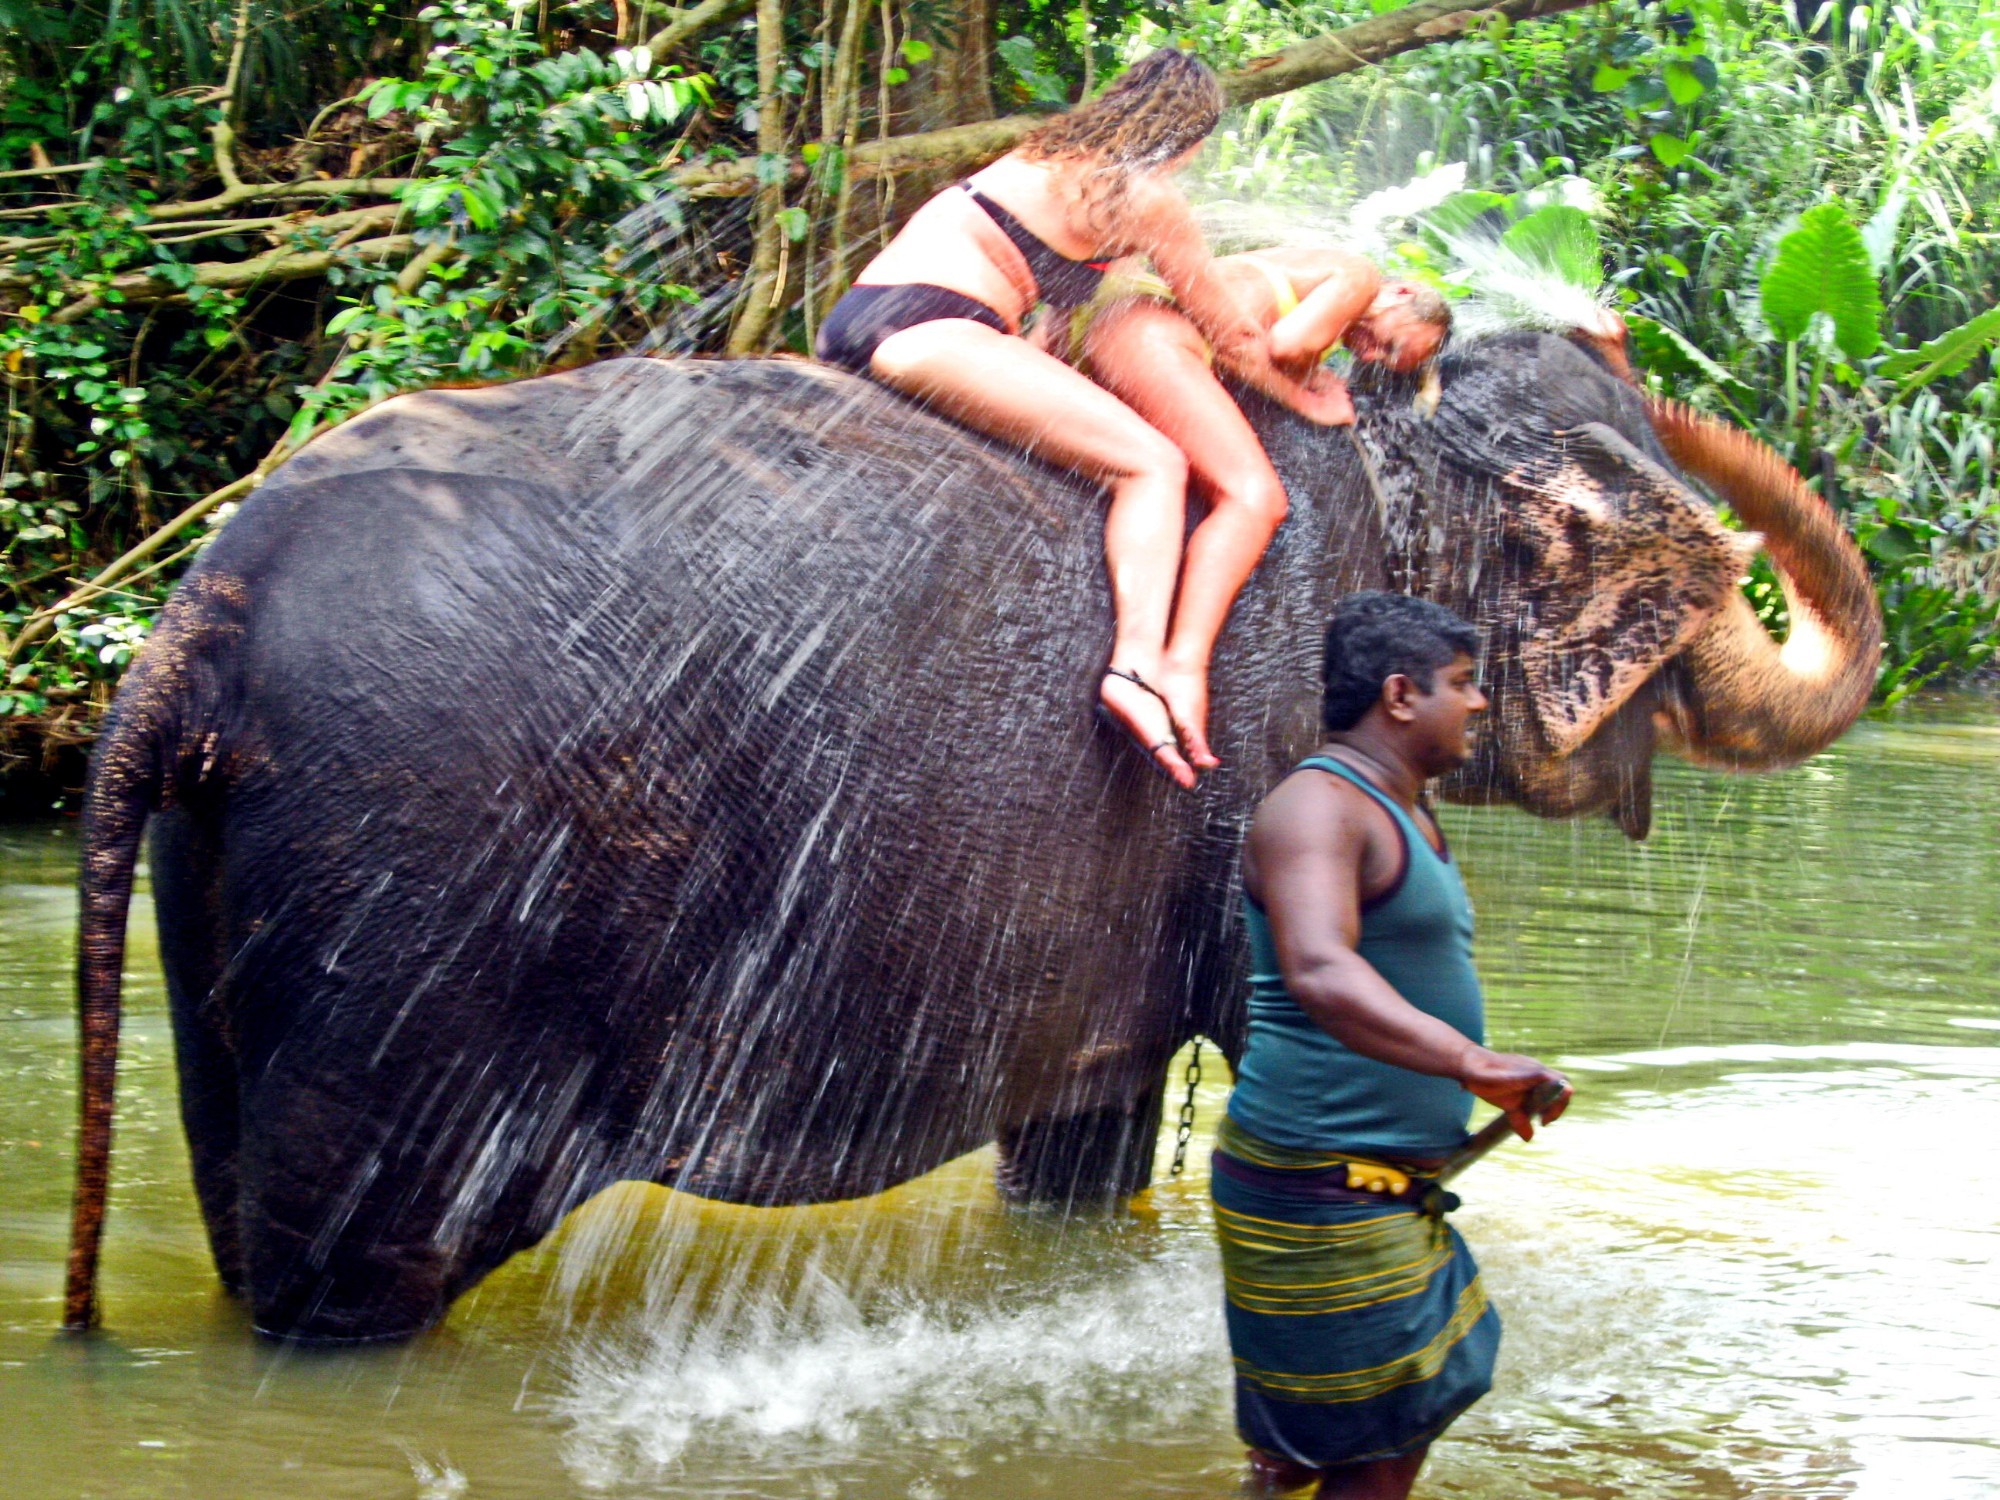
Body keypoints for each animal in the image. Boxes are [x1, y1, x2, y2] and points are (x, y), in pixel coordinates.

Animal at [62, 328, 1872, 1336]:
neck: (1389, 426)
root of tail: (200, 614)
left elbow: (1081, 1145)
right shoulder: (1261, 763)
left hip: (234, 882)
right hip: (419, 893)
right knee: (352, 1275)